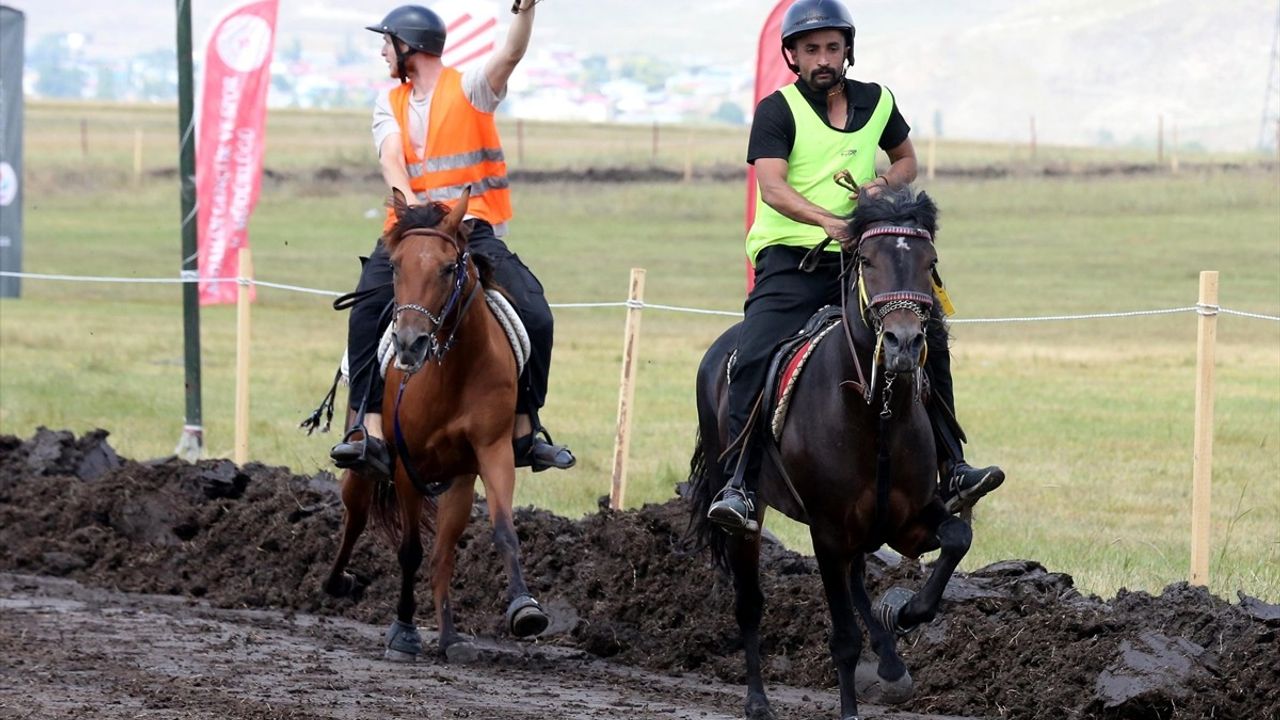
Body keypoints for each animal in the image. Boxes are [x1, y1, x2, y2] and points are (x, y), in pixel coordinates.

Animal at [322, 185, 547, 661]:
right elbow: (410, 550)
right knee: (355, 516)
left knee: (444, 553)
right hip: (364, 469)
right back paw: (337, 581)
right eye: (395, 266)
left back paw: (449, 637)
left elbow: (504, 532)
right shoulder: (408, 465)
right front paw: (404, 631)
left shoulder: (491, 452)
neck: (451, 371)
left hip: (458, 480)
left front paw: (524, 608)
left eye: (447, 268)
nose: (409, 343)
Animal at [691, 188, 967, 712]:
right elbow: (842, 638)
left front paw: (903, 614)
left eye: (930, 263)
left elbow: (958, 538)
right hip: (745, 514)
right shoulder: (827, 531)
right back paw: (757, 700)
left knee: (858, 579)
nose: (903, 343)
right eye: (869, 261)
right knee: (749, 603)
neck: (875, 415)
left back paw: (891, 661)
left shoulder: (910, 522)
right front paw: (850, 709)